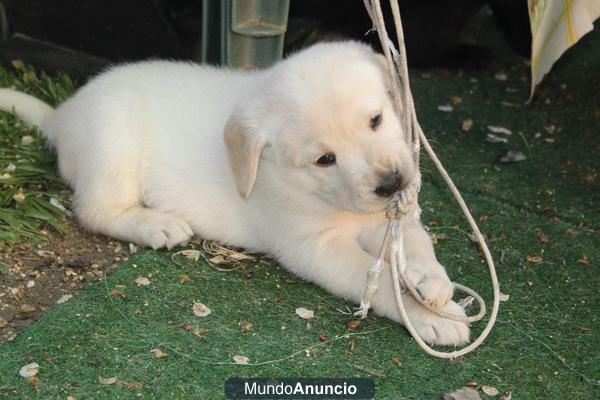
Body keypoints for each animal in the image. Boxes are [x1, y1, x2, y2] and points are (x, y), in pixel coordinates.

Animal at [0, 42, 468, 346]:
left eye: (375, 120)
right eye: (325, 159)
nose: (391, 184)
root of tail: (62, 115)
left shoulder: (394, 217)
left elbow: (417, 245)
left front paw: (432, 286)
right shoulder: (314, 248)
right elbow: (377, 279)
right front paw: (428, 317)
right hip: (113, 138)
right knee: (94, 210)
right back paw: (156, 224)